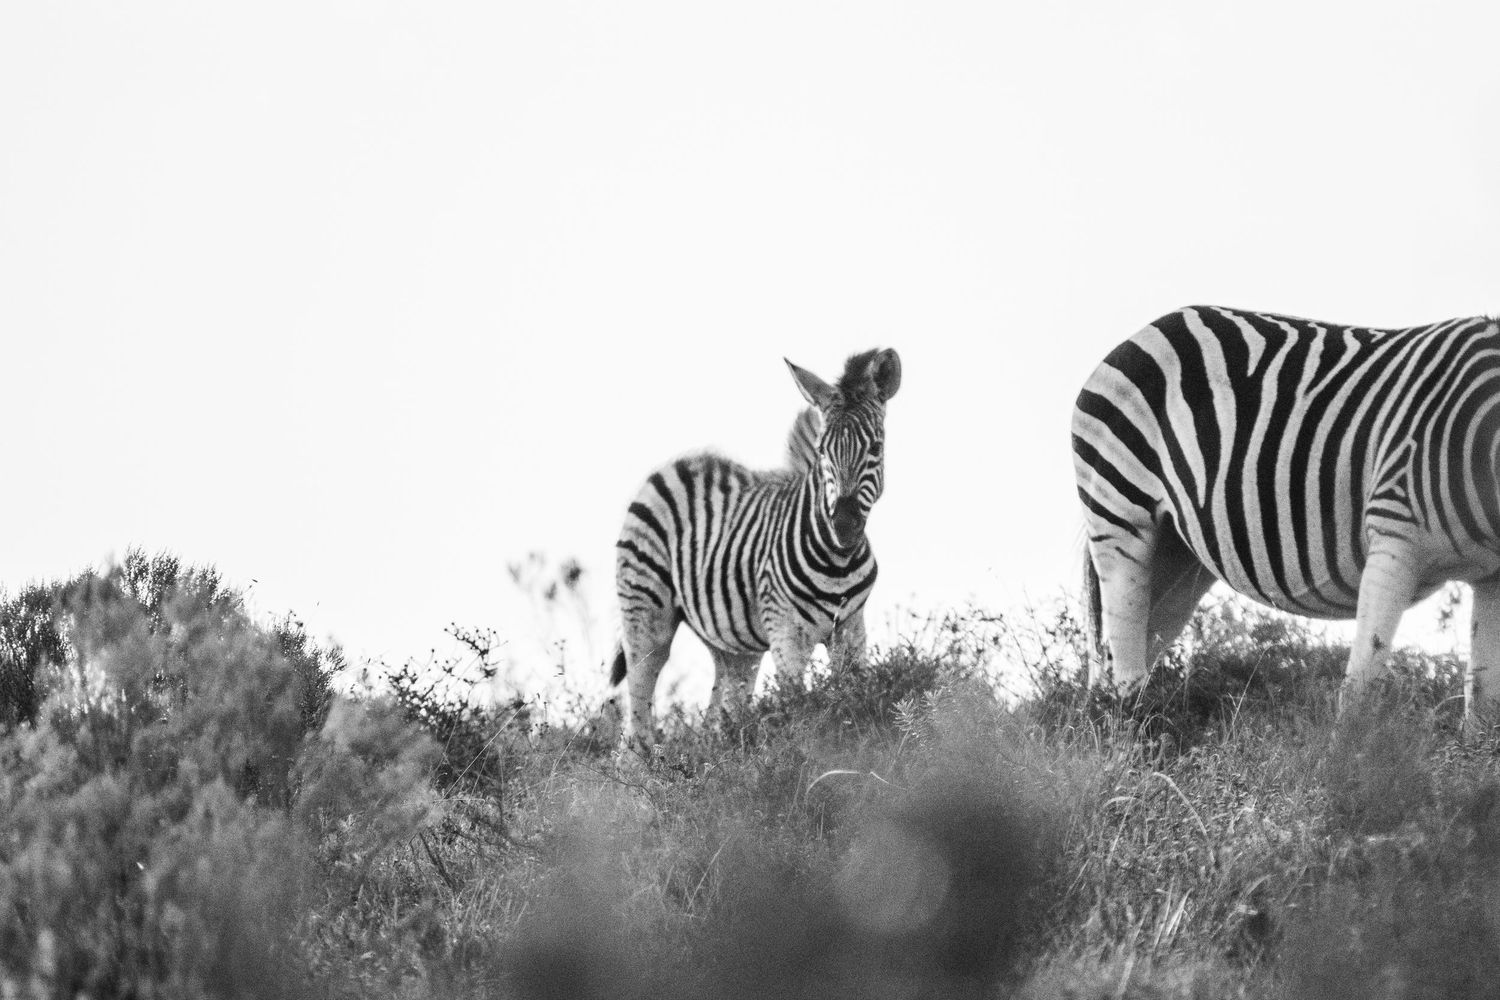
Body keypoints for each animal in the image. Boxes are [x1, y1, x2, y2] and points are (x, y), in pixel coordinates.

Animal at [611, 348, 902, 741]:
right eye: (822, 451)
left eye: (875, 447)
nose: (843, 525)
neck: (837, 564)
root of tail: (678, 463)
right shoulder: (786, 635)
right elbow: (801, 707)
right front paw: (809, 752)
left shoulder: (851, 629)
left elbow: (856, 697)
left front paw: (855, 741)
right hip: (645, 613)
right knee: (638, 706)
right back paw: (645, 758)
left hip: (733, 645)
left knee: (720, 713)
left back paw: (717, 750)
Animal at [1072, 305, 1500, 724]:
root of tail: (1142, 332)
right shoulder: (1394, 536)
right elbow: (1360, 691)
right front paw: (1351, 749)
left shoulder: (1492, 577)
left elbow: (1483, 703)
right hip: (1120, 513)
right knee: (1124, 667)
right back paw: (1129, 738)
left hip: (1177, 555)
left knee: (1125, 652)